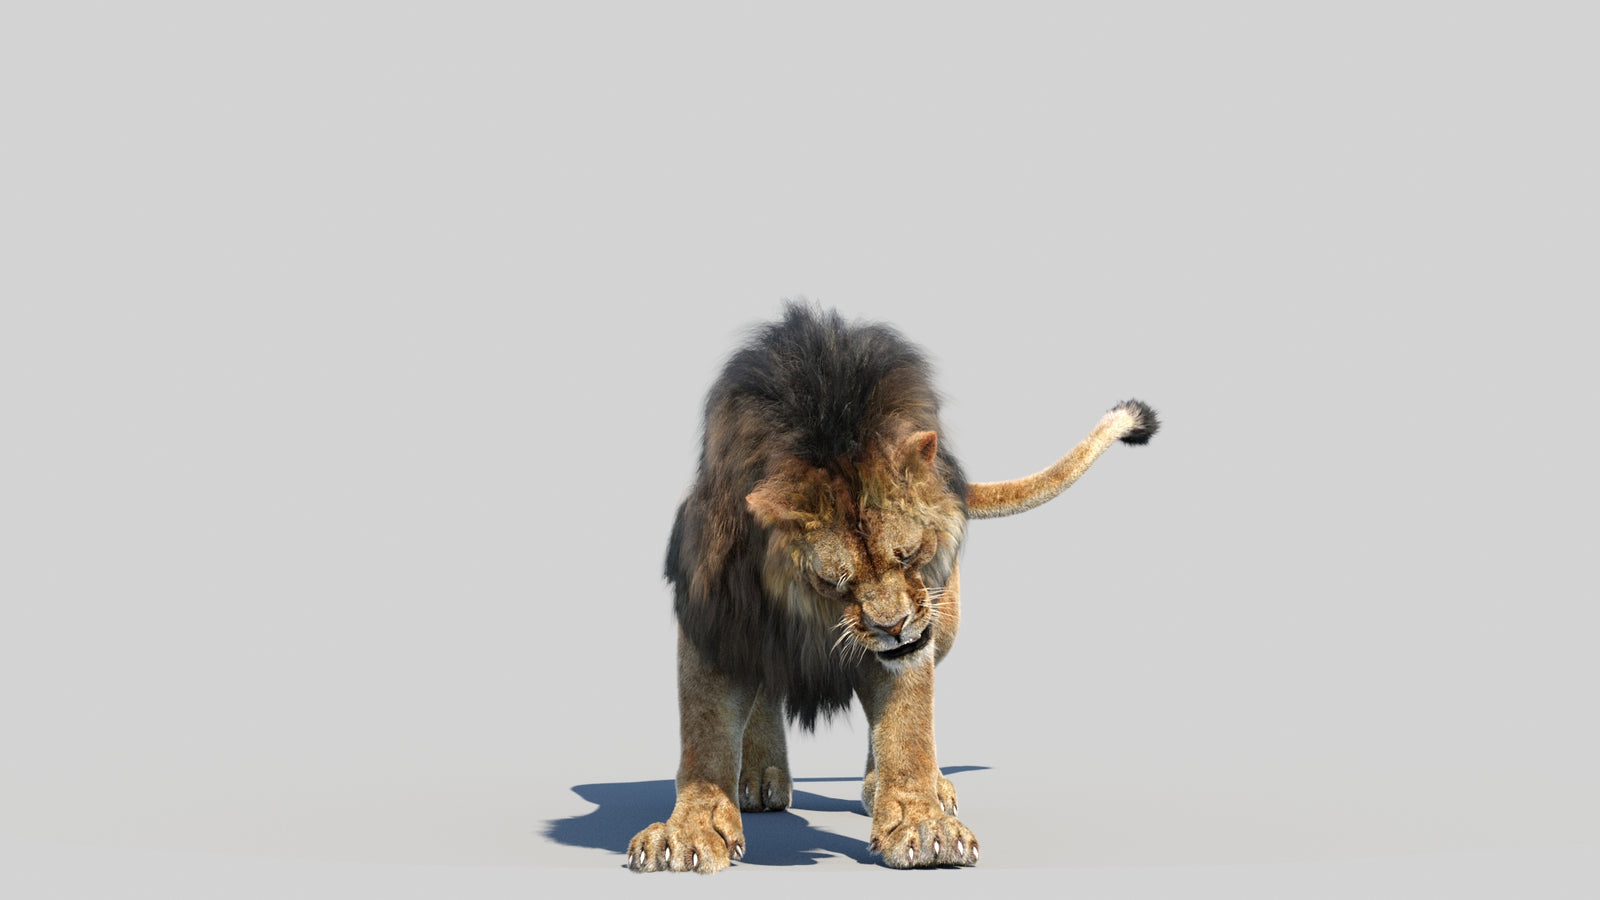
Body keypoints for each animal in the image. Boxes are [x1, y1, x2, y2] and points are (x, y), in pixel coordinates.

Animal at [627, 303, 1157, 872]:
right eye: (834, 580)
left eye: (907, 553)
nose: (894, 625)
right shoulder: (716, 617)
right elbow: (704, 733)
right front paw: (688, 832)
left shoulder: (916, 636)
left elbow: (907, 727)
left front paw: (921, 824)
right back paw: (761, 778)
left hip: (947, 621)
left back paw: (888, 786)